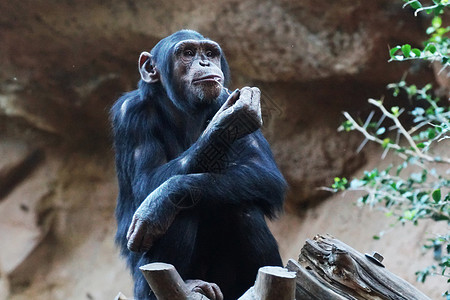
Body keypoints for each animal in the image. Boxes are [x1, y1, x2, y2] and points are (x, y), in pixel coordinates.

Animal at [110, 29, 284, 300]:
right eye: (188, 53)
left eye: (210, 53)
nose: (204, 63)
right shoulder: (130, 114)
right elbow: (146, 183)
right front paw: (227, 121)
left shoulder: (224, 95)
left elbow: (264, 173)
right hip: (141, 286)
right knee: (178, 211)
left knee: (243, 207)